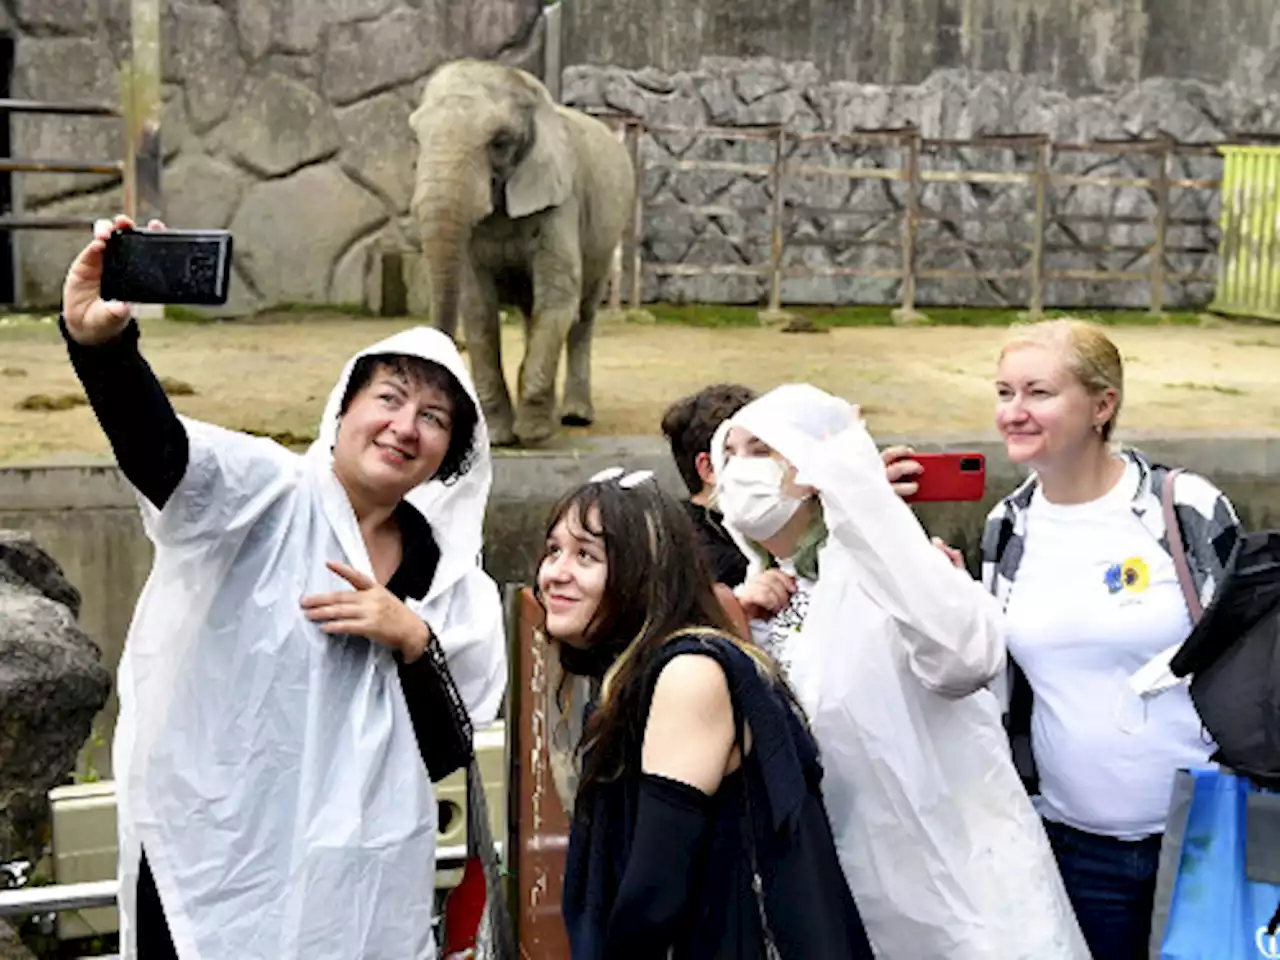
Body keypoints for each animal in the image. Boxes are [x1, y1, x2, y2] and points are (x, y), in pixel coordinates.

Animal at [409, 59, 634, 448]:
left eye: (500, 142)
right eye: (417, 137)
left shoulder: (562, 202)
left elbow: (558, 297)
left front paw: (533, 435)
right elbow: (478, 308)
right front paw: (500, 438)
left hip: (608, 234)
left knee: (583, 313)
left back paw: (574, 416)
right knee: (534, 313)